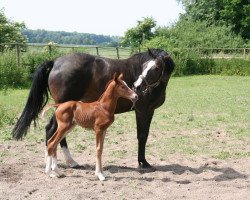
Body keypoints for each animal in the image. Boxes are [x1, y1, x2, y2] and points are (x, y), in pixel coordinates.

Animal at [11, 48, 175, 169]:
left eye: (156, 68)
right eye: (145, 66)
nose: (137, 86)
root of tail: (55, 62)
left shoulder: (148, 111)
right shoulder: (143, 110)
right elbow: (142, 136)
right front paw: (144, 163)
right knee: (52, 129)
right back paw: (64, 162)